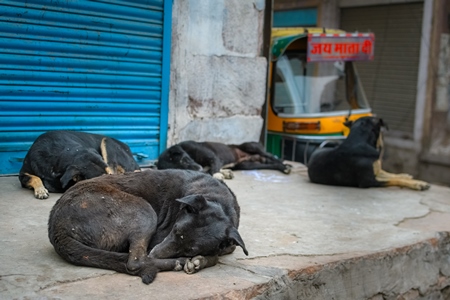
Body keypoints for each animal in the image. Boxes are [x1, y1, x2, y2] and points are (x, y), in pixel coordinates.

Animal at [47, 169, 248, 284]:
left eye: (192, 249)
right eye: (175, 230)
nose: (154, 252)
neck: (216, 199)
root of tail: (57, 229)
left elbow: (218, 253)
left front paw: (199, 260)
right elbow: (215, 257)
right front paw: (195, 261)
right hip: (144, 212)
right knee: (136, 262)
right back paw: (177, 263)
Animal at [156, 140, 292, 179]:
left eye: (184, 160)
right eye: (180, 169)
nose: (198, 169)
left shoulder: (213, 158)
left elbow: (212, 170)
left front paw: (219, 175)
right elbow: (211, 170)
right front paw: (225, 173)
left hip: (252, 146)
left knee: (270, 156)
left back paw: (285, 165)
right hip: (247, 165)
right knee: (270, 164)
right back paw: (282, 168)